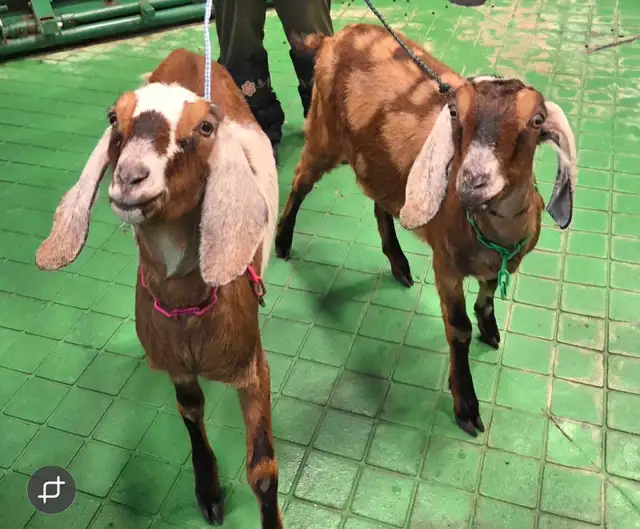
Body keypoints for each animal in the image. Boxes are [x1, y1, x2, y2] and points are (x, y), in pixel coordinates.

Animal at [35, 48, 282, 528]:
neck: (186, 310)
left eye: (205, 127)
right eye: (114, 117)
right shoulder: (176, 366)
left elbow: (262, 471)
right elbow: (190, 412)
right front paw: (208, 491)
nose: (130, 178)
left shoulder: (252, 366)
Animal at [275, 24, 577, 437]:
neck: (493, 236)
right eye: (455, 111)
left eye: (536, 120)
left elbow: (486, 298)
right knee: (300, 181)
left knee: (380, 205)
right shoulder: (445, 264)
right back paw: (282, 241)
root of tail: (334, 36)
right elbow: (458, 327)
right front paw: (465, 403)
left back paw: (398, 263)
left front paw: (490, 328)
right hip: (323, 133)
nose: (472, 181)